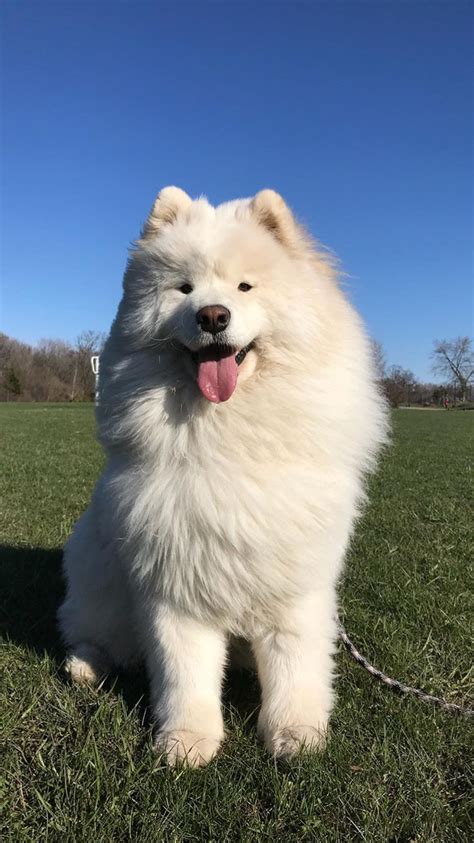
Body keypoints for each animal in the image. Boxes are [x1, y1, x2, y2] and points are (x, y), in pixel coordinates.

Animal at [57, 188, 386, 768]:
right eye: (184, 289)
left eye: (244, 287)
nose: (212, 315)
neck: (226, 435)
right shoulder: (174, 589)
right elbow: (184, 676)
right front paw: (187, 743)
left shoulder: (295, 587)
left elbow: (295, 667)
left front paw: (296, 735)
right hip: (101, 586)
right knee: (87, 632)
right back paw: (86, 667)